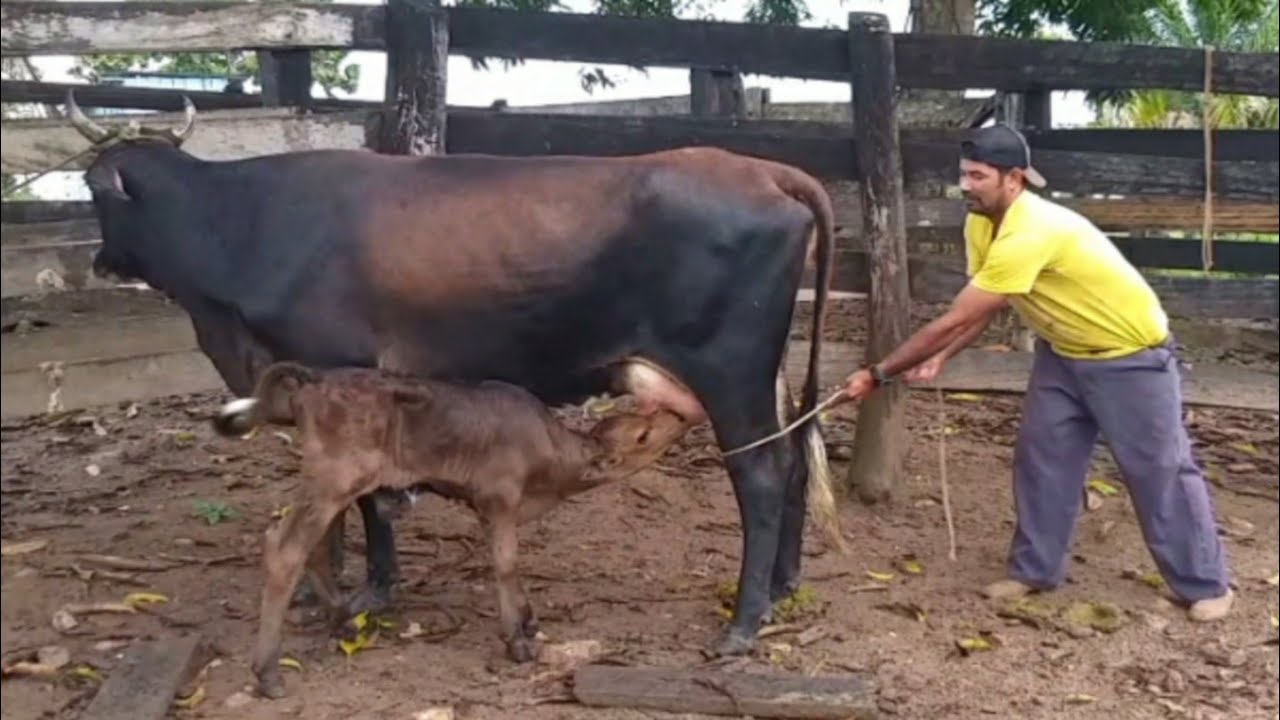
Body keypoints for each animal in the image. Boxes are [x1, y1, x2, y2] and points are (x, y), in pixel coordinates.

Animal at [64, 90, 842, 659]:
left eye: (95, 189)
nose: (99, 259)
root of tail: (763, 169)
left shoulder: (342, 372)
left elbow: (368, 498)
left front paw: (369, 590)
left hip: (730, 369)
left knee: (762, 475)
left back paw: (743, 623)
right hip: (766, 374)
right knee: (793, 462)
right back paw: (784, 586)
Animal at [211, 360, 693, 697]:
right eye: (643, 435)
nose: (678, 417)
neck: (553, 460)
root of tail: (312, 382)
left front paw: (529, 620)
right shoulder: (499, 498)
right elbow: (506, 563)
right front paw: (518, 641)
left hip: (332, 488)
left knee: (312, 549)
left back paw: (342, 622)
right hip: (333, 480)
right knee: (283, 548)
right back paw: (268, 672)